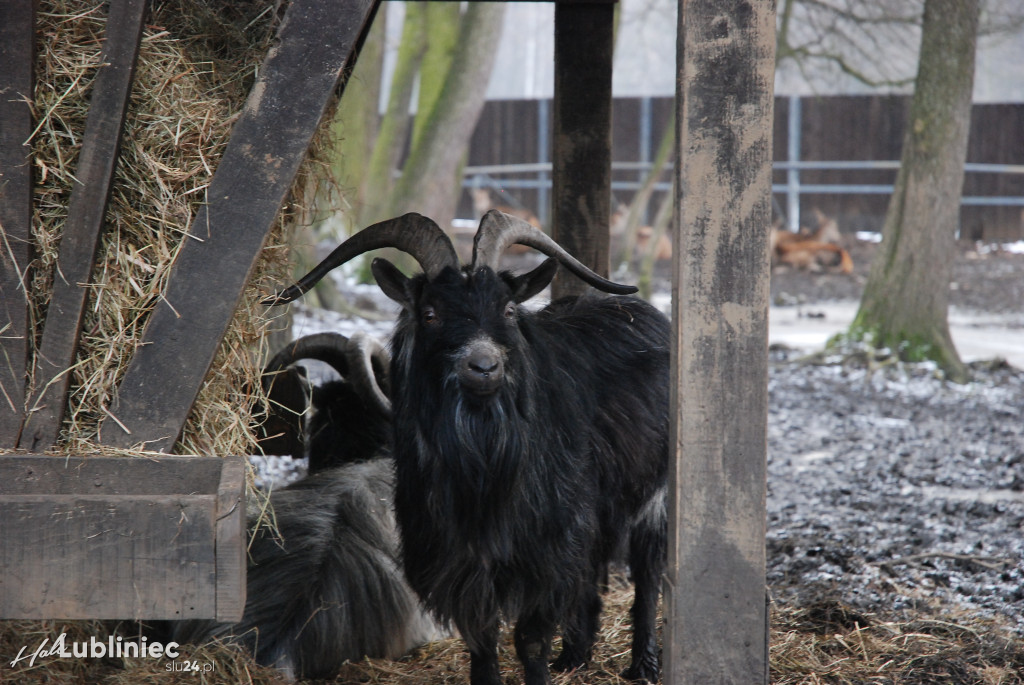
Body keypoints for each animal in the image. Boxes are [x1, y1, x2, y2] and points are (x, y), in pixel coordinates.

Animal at [264, 210, 671, 679]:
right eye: (429, 312)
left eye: (508, 309)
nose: (484, 366)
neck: (484, 470)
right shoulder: (457, 556)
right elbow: (482, 638)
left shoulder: (548, 543)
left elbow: (531, 638)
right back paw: (574, 657)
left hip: (655, 496)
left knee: (647, 574)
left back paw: (643, 666)